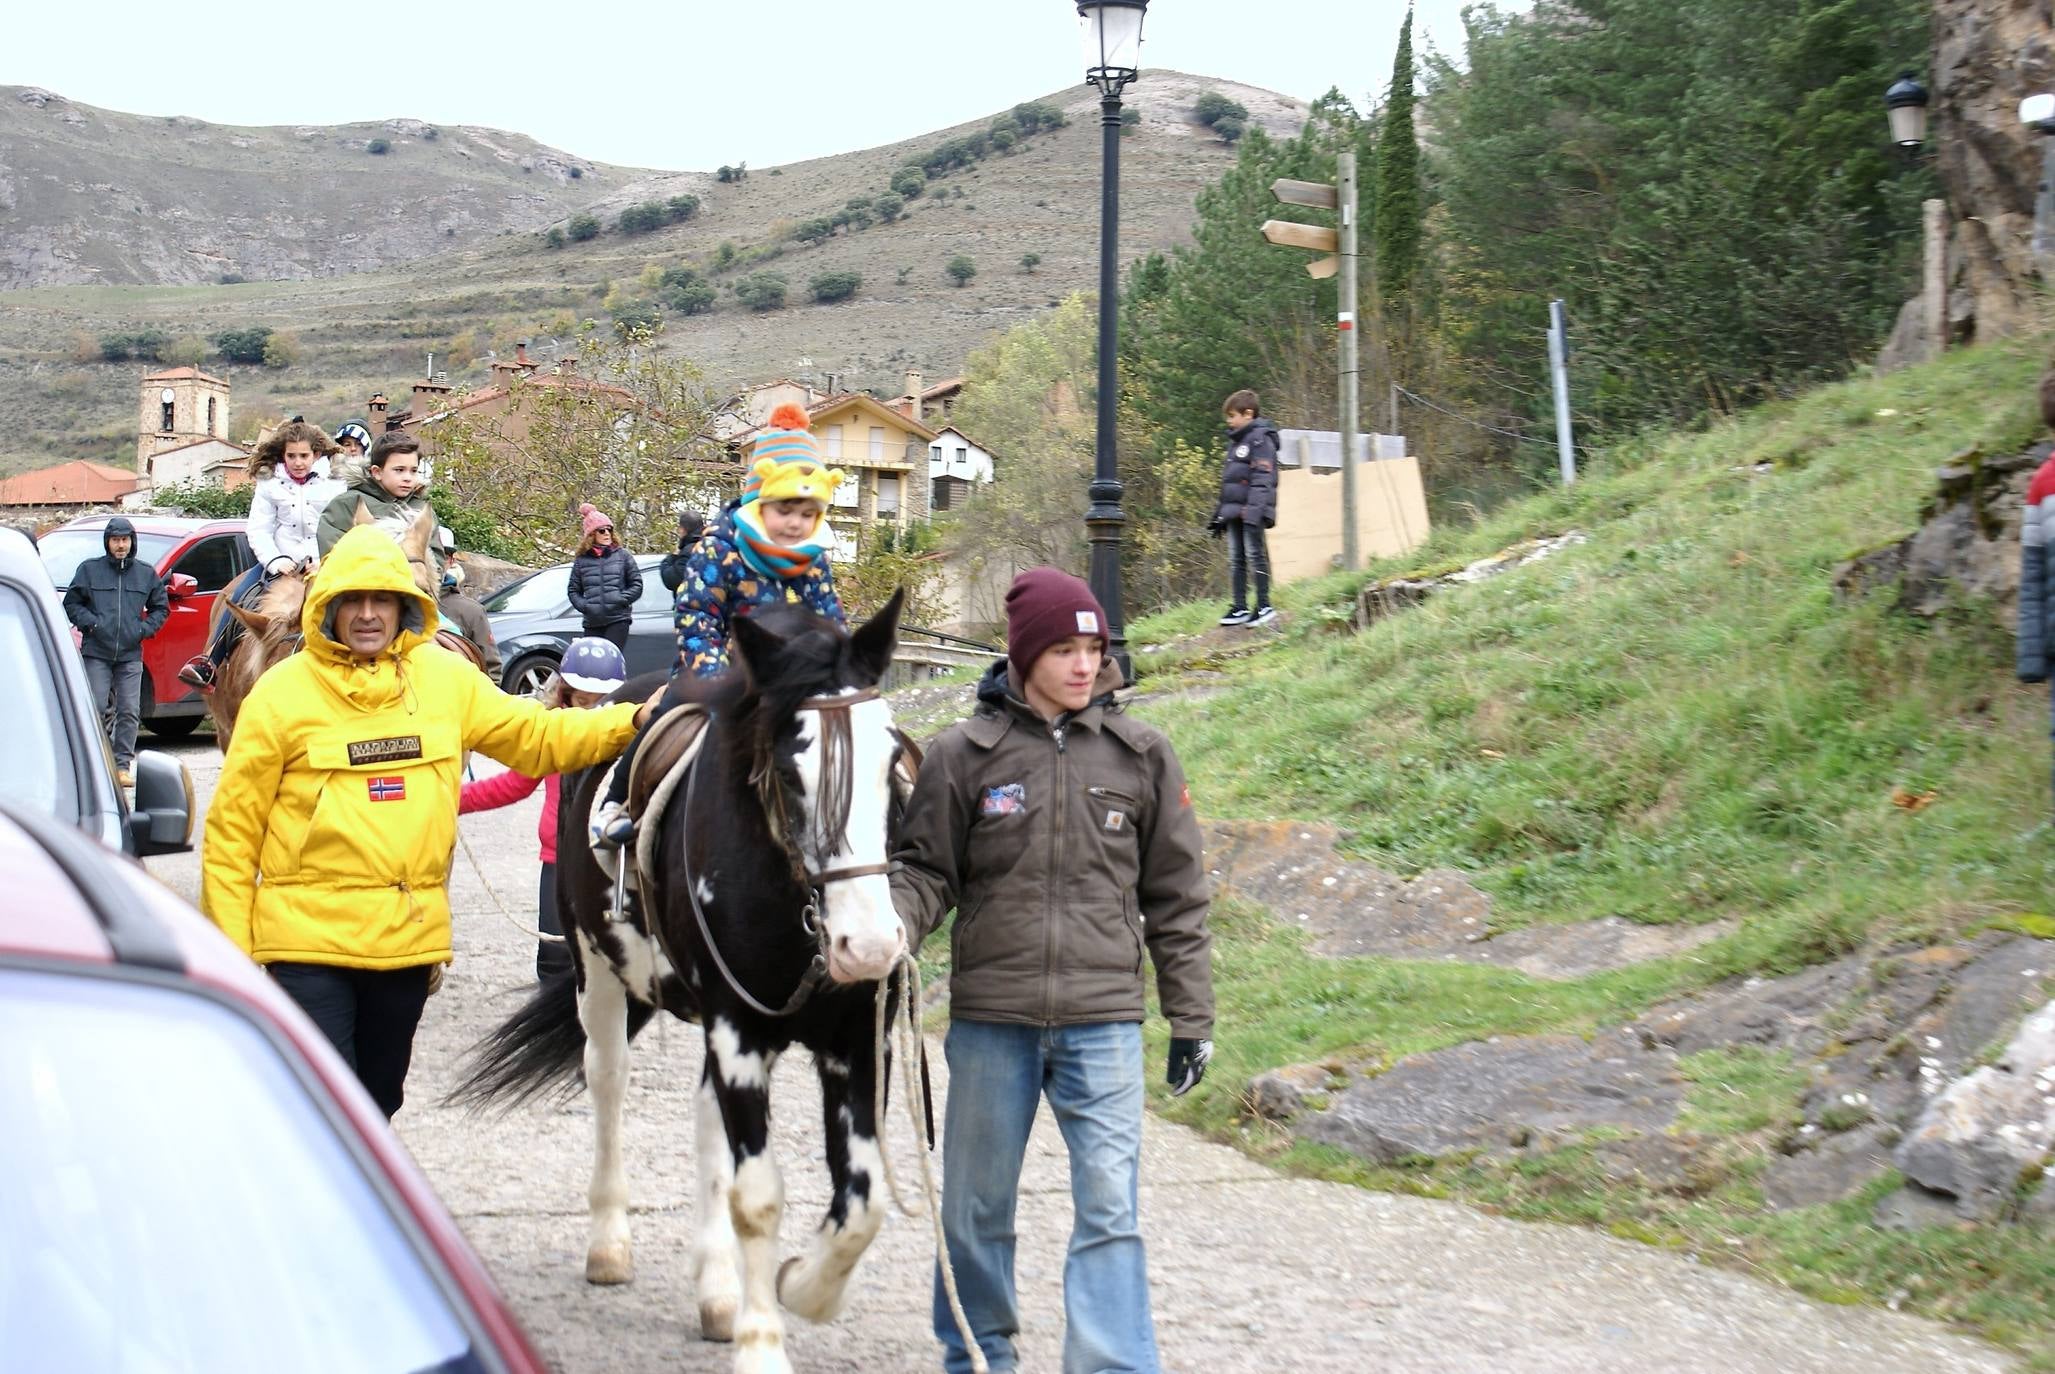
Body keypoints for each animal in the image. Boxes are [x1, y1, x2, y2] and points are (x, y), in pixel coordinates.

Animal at [462, 595, 920, 1371]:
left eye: (892, 761)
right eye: (789, 773)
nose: (867, 945)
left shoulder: (855, 1039)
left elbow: (864, 1201)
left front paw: (803, 1287)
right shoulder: (738, 1031)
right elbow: (758, 1196)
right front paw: (763, 1344)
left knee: (707, 1121)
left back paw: (717, 1291)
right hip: (599, 975)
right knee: (608, 1082)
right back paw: (610, 1246)